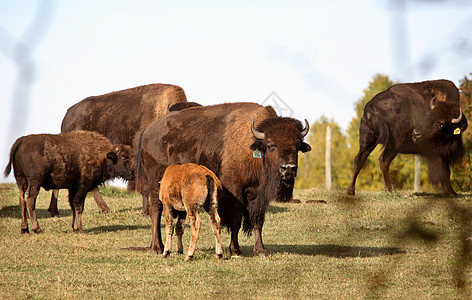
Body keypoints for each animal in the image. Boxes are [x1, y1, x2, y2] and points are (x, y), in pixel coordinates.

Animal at [4, 130, 135, 233]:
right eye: (124, 157)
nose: (134, 174)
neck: (101, 154)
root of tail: (21, 141)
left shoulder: (72, 188)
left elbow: (72, 205)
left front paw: (74, 227)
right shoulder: (82, 186)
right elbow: (79, 206)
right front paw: (79, 228)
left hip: (21, 181)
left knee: (21, 199)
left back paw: (24, 229)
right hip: (35, 181)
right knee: (30, 199)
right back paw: (37, 229)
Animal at [136, 102, 312, 256]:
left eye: (297, 145)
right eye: (270, 145)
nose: (288, 168)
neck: (253, 148)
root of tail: (146, 132)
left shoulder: (258, 196)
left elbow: (258, 221)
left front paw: (261, 250)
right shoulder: (235, 191)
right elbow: (236, 220)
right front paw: (235, 250)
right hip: (156, 183)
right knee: (156, 210)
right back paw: (156, 248)